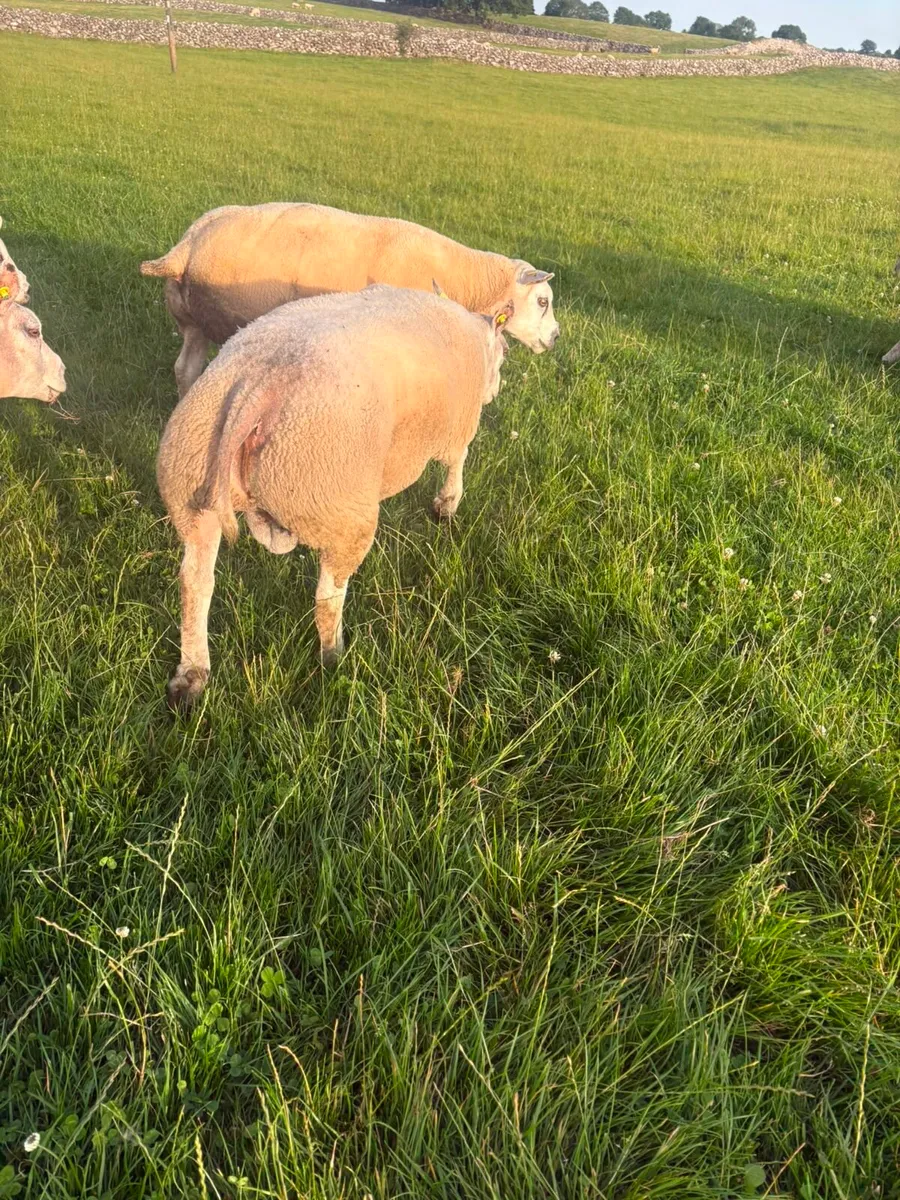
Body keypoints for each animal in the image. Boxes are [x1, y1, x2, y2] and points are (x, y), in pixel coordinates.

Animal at [141, 202, 558, 398]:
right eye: (542, 301)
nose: (554, 338)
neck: (465, 279)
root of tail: (187, 245)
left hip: (192, 321)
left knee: (185, 368)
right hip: (234, 317)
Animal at [156, 284, 510, 708]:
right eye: (505, 351)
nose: (498, 389)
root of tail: (254, 388)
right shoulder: (456, 426)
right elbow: (458, 460)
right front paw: (448, 504)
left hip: (192, 482)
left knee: (194, 582)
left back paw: (191, 675)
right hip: (340, 506)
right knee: (327, 597)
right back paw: (334, 655)